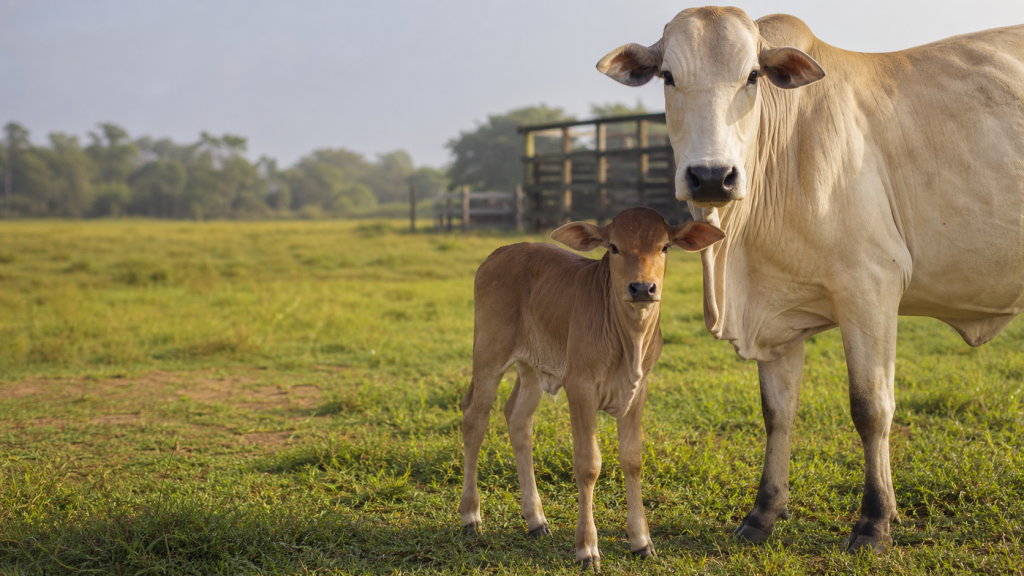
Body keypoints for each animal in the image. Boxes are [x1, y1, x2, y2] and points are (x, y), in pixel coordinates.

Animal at [459, 207, 725, 569]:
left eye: (665, 247)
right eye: (613, 247)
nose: (642, 288)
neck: (630, 341)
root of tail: (501, 252)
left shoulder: (638, 389)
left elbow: (632, 458)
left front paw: (641, 540)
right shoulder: (580, 386)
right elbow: (588, 464)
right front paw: (587, 548)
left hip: (533, 366)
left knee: (518, 419)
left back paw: (536, 519)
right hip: (489, 351)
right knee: (476, 418)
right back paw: (471, 515)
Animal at [596, 6, 1024, 553]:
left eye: (753, 76)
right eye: (668, 76)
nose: (712, 176)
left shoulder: (870, 290)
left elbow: (871, 408)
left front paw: (874, 522)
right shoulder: (775, 315)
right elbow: (777, 413)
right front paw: (762, 514)